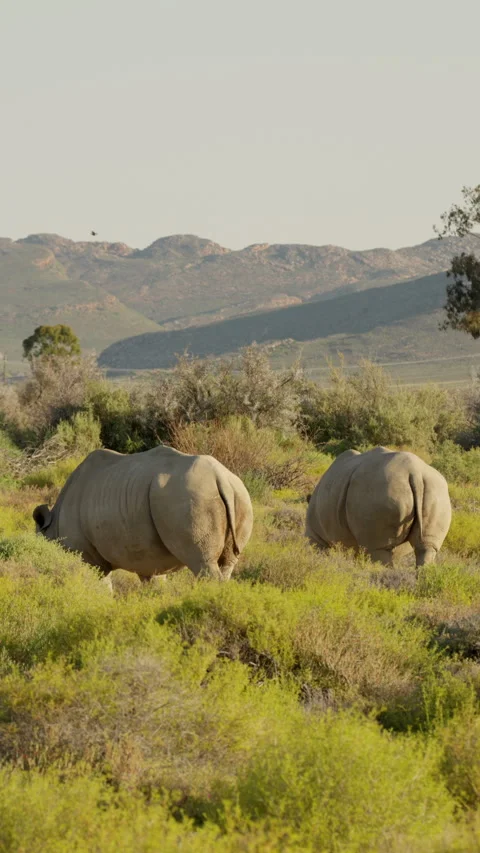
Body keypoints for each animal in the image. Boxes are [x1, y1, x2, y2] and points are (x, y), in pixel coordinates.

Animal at [33, 445, 253, 582]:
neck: (53, 523)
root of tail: (220, 476)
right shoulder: (148, 560)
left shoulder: (89, 560)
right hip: (239, 493)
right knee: (227, 564)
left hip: (191, 496)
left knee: (203, 563)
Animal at [305, 446, 451, 567]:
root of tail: (415, 473)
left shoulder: (316, 536)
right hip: (437, 492)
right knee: (426, 548)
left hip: (382, 491)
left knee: (379, 550)